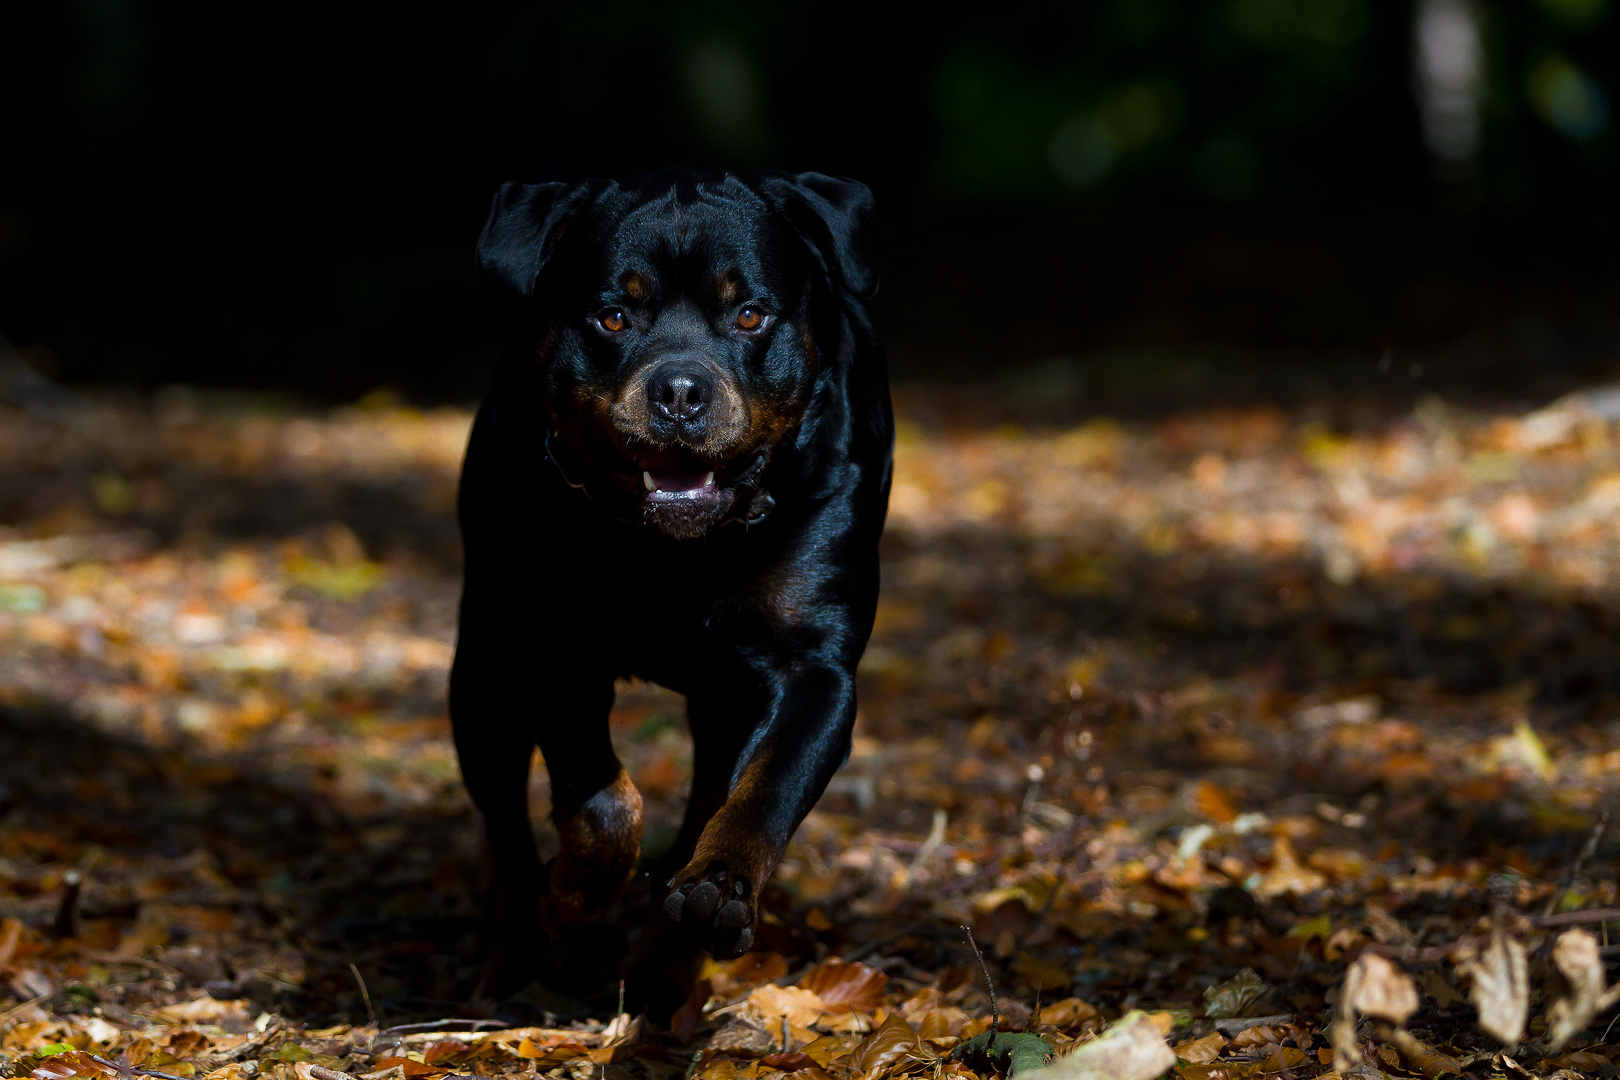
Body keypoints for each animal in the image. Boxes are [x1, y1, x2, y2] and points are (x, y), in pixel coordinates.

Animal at [450, 170, 894, 997]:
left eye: (750, 314)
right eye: (613, 316)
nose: (681, 390)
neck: (677, 550)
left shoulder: (813, 668)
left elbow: (763, 790)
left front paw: (718, 890)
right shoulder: (543, 633)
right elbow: (600, 801)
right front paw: (575, 895)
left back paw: (664, 966)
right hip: (481, 673)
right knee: (505, 829)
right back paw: (515, 954)